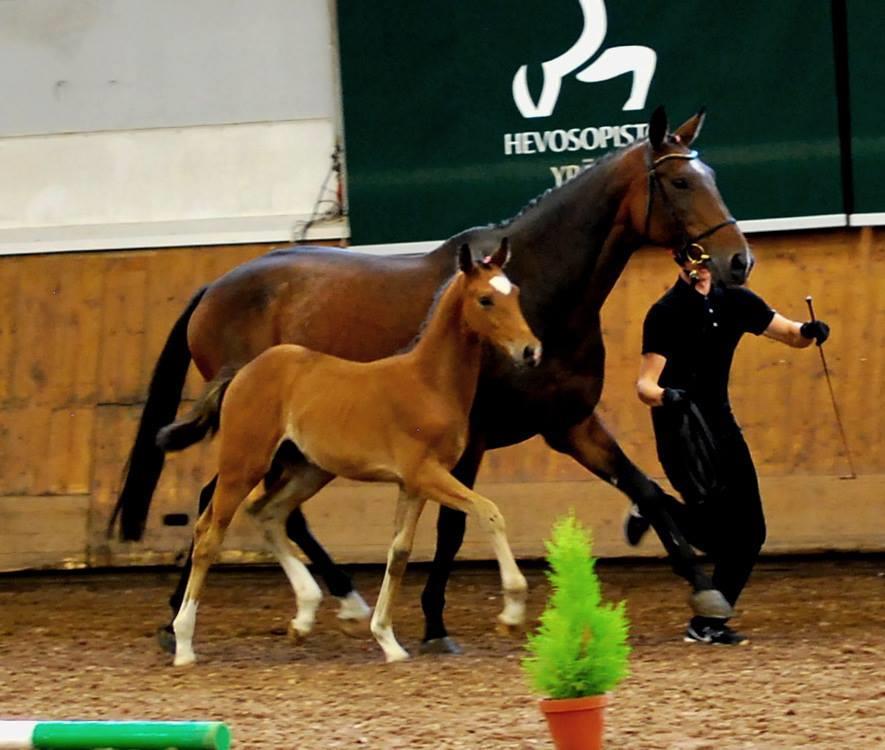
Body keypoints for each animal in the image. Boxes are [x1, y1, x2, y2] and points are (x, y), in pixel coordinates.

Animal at [159, 241, 540, 664]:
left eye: (515, 293)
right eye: (485, 299)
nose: (530, 351)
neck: (428, 382)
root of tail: (240, 373)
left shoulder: (413, 485)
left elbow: (399, 553)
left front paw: (388, 641)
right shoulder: (426, 473)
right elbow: (489, 512)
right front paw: (512, 613)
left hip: (308, 470)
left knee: (267, 512)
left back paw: (305, 614)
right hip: (244, 464)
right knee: (210, 534)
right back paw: (184, 643)